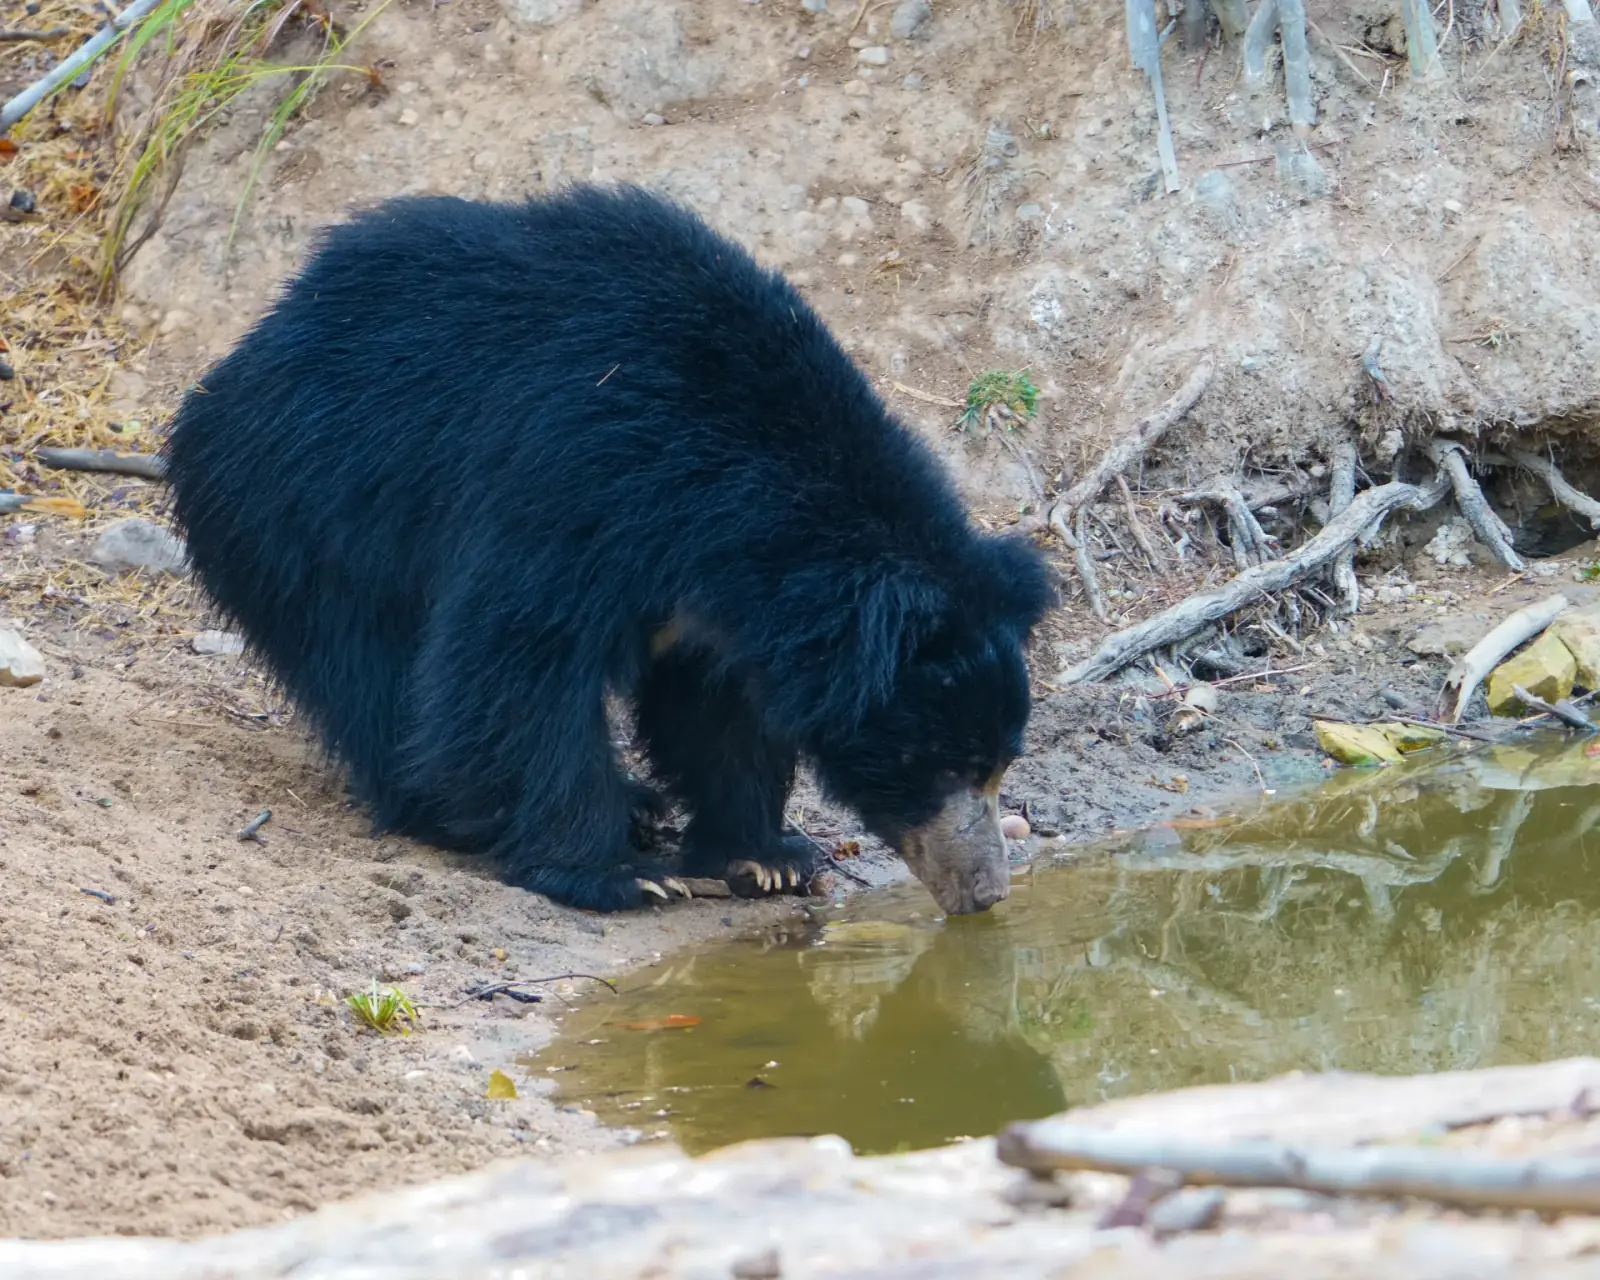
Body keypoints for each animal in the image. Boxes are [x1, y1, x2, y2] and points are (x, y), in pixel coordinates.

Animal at [161, 183, 1057, 915]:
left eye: (999, 764)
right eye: (943, 764)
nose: (985, 892)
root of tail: (234, 365)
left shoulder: (719, 599)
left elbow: (715, 709)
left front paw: (767, 857)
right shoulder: (578, 479)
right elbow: (518, 663)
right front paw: (618, 876)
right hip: (306, 512)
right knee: (368, 668)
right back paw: (452, 812)